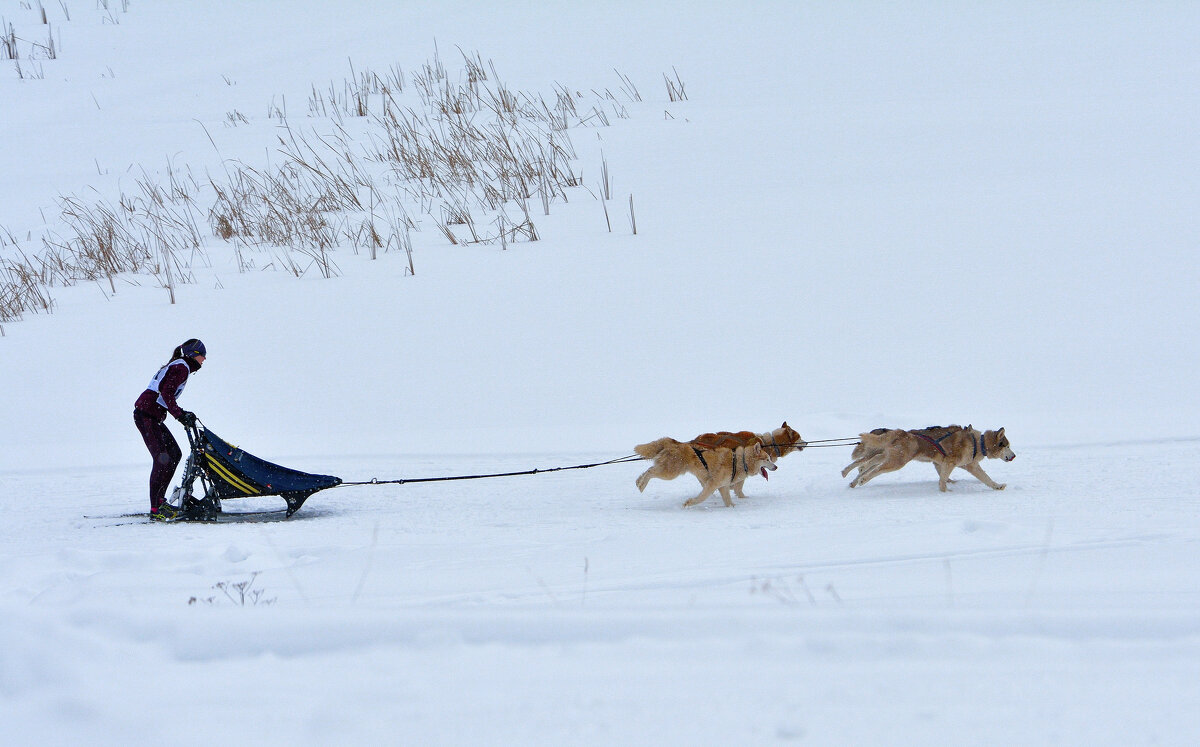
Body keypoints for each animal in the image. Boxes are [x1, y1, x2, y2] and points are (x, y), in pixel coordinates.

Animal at [638, 439, 777, 509]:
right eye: (767, 459)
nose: (776, 467)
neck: (739, 461)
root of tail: (673, 443)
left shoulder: (723, 486)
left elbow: (728, 501)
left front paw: (732, 507)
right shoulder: (712, 485)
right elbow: (701, 497)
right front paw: (689, 503)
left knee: (650, 469)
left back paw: (639, 481)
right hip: (670, 473)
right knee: (650, 471)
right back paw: (641, 484)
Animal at [840, 427, 1017, 492]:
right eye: (1007, 445)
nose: (1014, 456)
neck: (977, 443)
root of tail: (900, 432)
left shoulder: (969, 466)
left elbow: (986, 478)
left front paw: (997, 486)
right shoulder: (949, 463)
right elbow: (943, 479)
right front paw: (945, 491)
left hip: (889, 456)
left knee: (869, 463)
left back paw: (851, 476)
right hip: (897, 462)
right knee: (874, 469)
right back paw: (861, 479)